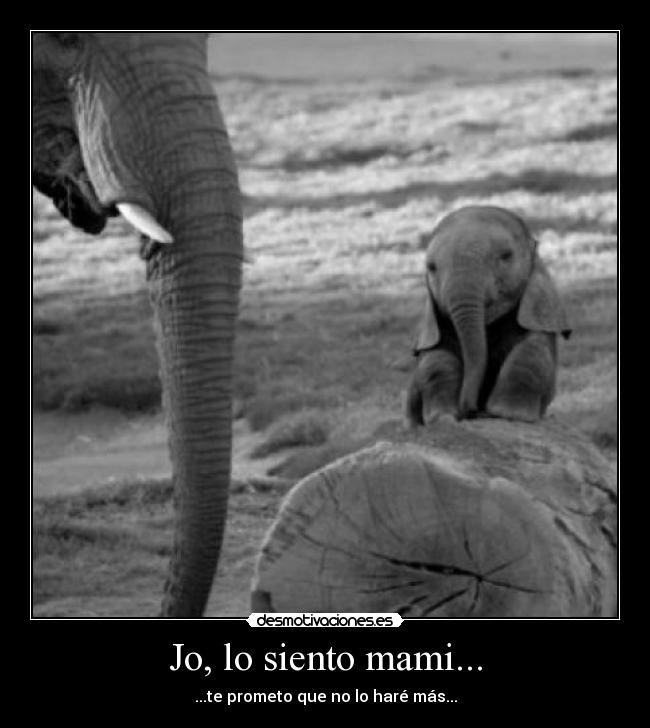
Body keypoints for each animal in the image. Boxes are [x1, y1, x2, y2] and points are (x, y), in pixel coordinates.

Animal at [405, 205, 571, 426]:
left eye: (506, 256)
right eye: (431, 267)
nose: (474, 411)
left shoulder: (540, 316)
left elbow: (531, 353)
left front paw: (506, 414)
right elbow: (436, 361)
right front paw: (444, 418)